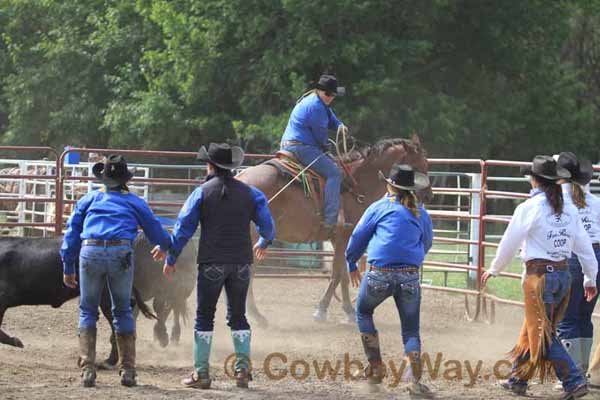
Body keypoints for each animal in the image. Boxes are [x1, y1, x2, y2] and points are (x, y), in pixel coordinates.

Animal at [238, 134, 432, 324]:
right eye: (420, 165)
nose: (429, 195)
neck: (356, 185)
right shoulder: (343, 235)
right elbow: (338, 273)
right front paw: (322, 310)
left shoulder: (340, 239)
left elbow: (344, 274)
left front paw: (349, 311)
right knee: (248, 272)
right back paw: (256, 315)